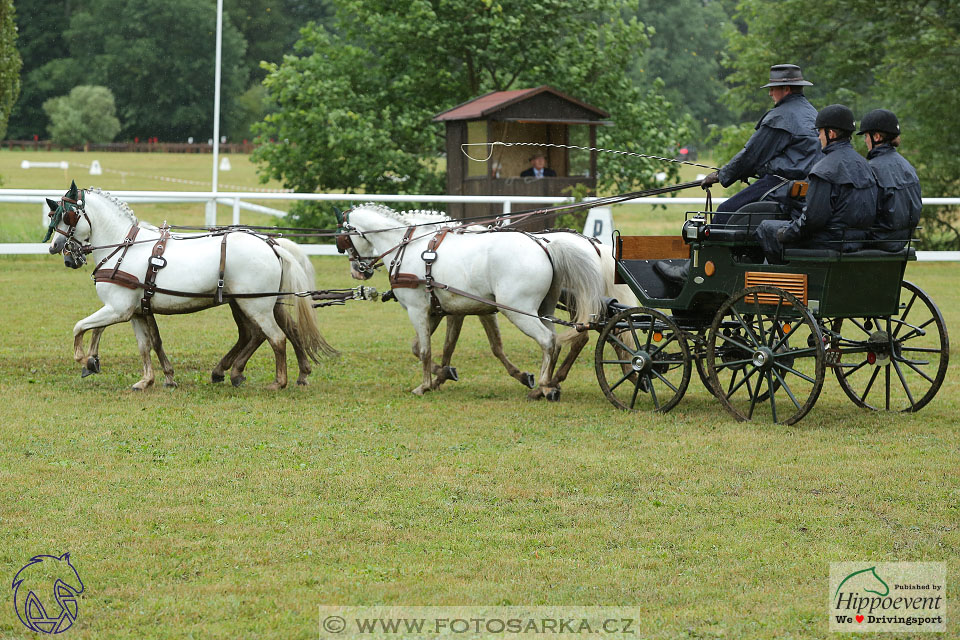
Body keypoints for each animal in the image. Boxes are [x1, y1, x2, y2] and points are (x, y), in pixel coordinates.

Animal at [46, 181, 338, 390]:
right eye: (53, 215)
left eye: (68, 216)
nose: (57, 248)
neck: (124, 248)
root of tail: (270, 243)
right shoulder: (137, 311)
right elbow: (146, 344)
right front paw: (148, 380)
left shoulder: (118, 309)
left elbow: (80, 326)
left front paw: (86, 360)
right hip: (256, 303)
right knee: (275, 332)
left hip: (256, 305)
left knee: (274, 337)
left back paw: (278, 382)